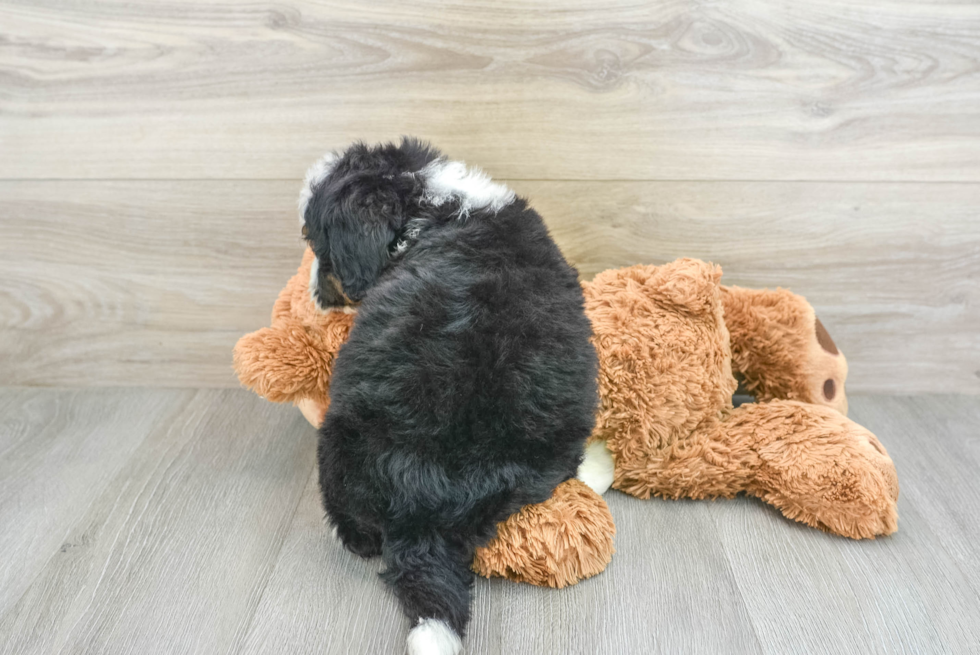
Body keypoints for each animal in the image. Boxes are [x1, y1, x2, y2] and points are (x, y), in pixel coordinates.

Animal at [298, 140, 596, 655]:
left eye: (316, 243)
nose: (317, 297)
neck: (426, 205)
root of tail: (424, 512)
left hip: (337, 443)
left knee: (355, 525)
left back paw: (352, 536)